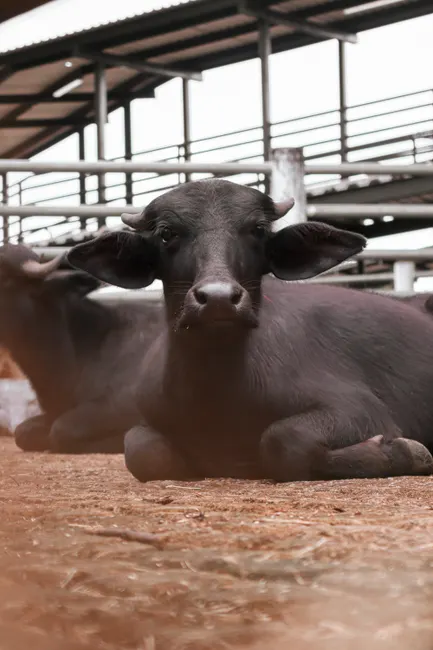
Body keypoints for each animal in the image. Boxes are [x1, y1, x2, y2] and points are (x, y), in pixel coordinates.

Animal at [68, 179, 433, 481]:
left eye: (257, 229)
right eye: (166, 233)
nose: (218, 298)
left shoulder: (360, 409)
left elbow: (283, 439)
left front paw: (406, 452)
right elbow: (141, 451)